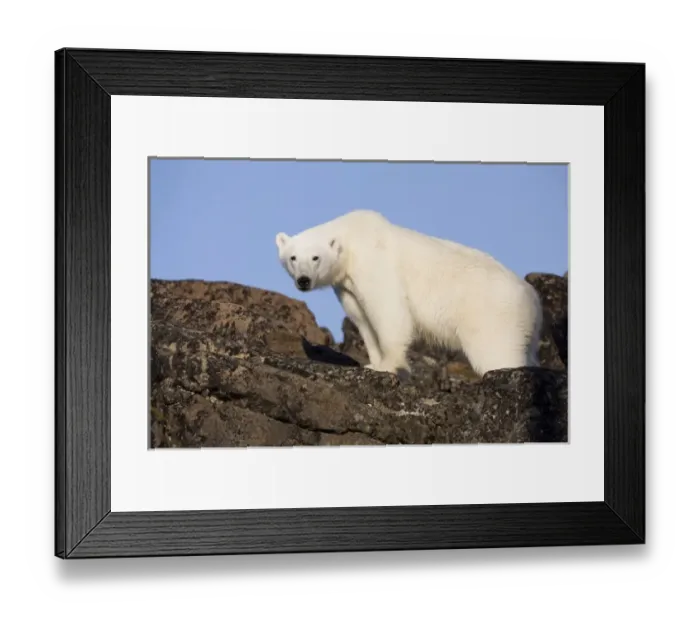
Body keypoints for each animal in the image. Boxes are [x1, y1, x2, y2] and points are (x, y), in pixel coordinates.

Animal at [275, 209, 543, 379]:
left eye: (315, 257)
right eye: (293, 258)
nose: (303, 280)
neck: (351, 241)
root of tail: (533, 298)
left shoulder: (375, 264)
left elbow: (389, 312)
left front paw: (389, 366)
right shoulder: (347, 285)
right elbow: (363, 319)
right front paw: (373, 363)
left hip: (491, 316)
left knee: (497, 353)